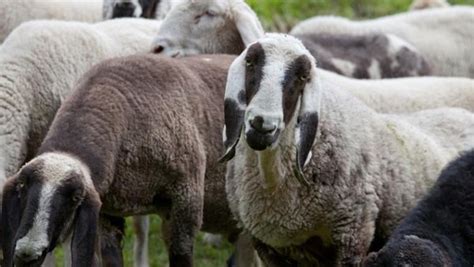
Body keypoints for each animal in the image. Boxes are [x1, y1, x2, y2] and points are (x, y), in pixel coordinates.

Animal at [0, 54, 260, 267]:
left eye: (75, 198)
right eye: (22, 187)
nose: (27, 254)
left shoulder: (187, 200)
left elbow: (181, 255)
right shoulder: (107, 213)